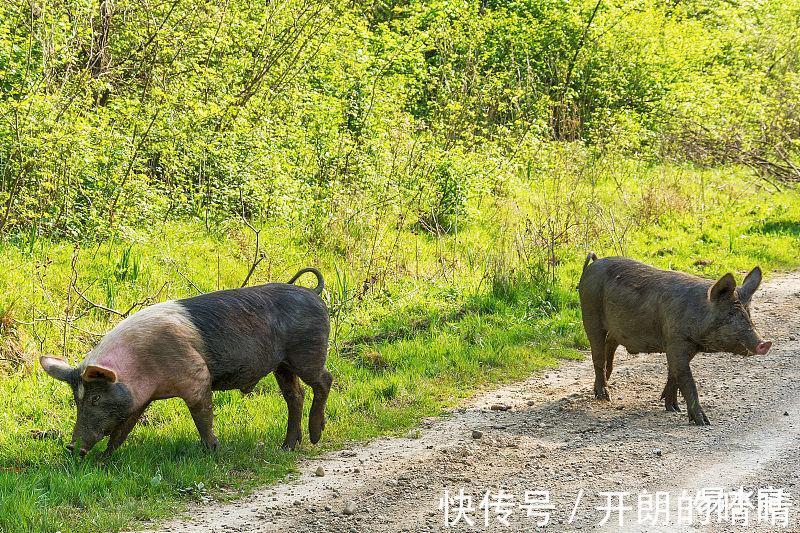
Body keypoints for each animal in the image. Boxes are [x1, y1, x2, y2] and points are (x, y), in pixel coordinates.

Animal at [36, 268, 332, 456]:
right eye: (77, 400)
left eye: (95, 398)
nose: (72, 447)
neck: (142, 367)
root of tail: (313, 293)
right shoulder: (140, 399)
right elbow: (122, 430)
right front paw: (103, 460)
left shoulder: (197, 376)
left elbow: (203, 417)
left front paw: (213, 451)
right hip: (282, 364)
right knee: (295, 395)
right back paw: (288, 447)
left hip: (307, 352)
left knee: (324, 380)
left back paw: (315, 435)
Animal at [580, 252, 772, 424]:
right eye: (730, 314)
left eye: (748, 314)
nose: (765, 343)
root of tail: (593, 264)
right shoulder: (676, 341)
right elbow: (687, 380)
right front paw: (703, 422)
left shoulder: (684, 347)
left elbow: (673, 373)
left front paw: (673, 408)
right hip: (589, 314)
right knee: (597, 354)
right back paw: (605, 396)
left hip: (615, 327)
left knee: (610, 344)